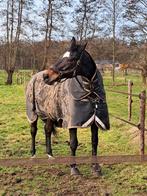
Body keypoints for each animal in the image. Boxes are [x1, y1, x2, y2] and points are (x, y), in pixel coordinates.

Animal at [25, 37, 109, 175]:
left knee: (47, 130)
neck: (90, 91)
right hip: (33, 114)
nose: (46, 76)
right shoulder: (71, 122)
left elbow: (94, 141)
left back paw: (50, 155)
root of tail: (34, 77)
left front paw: (95, 167)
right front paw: (74, 168)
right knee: (33, 131)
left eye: (71, 59)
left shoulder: (95, 120)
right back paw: (33, 155)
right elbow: (73, 143)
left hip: (50, 114)